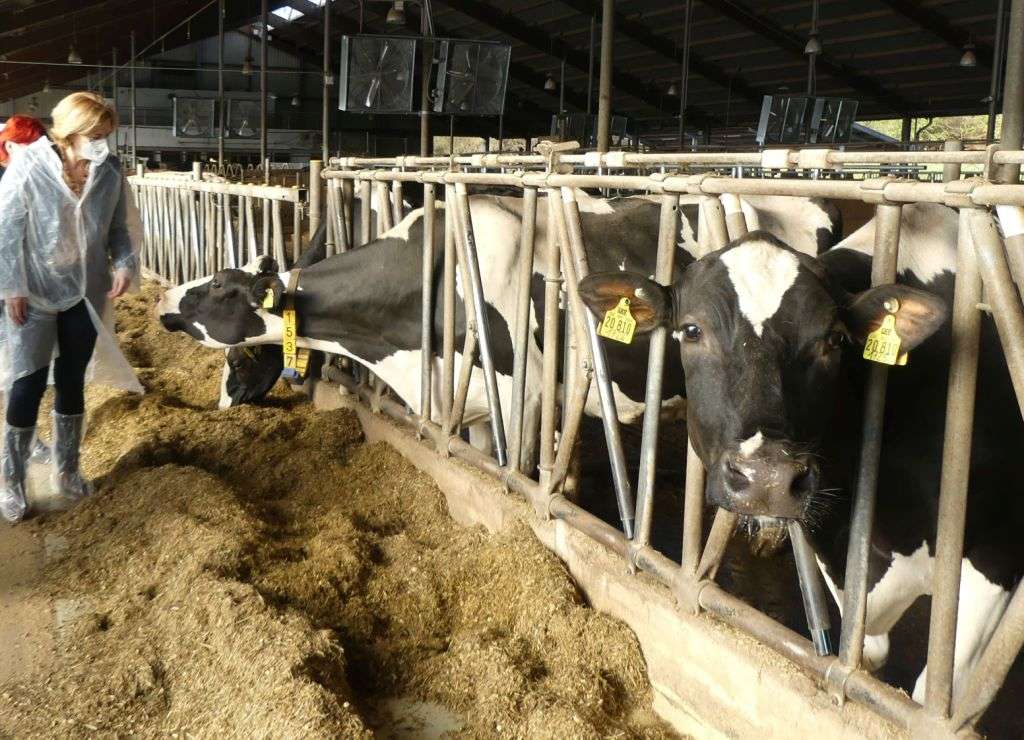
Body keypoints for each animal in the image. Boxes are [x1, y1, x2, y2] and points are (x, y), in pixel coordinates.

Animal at [578, 201, 1020, 704]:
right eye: (691, 330)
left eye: (833, 339)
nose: (767, 478)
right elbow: (864, 655)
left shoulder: (999, 552)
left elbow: (928, 692)